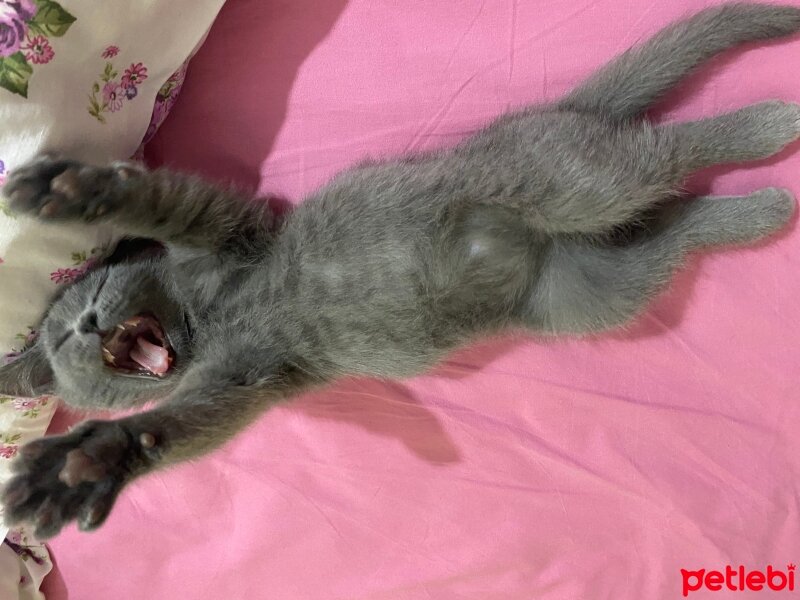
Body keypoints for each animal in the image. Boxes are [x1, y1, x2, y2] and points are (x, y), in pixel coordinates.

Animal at [1, 3, 800, 540]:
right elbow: (187, 424)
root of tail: (545, 116)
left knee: (668, 151)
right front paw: (92, 460)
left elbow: (171, 203)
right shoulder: (248, 382)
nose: (88, 323)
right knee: (674, 226)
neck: (209, 320)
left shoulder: (234, 230)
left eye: (94, 295)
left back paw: (771, 122)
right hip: (591, 290)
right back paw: (765, 207)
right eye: (67, 340)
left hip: (567, 183)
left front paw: (78, 190)